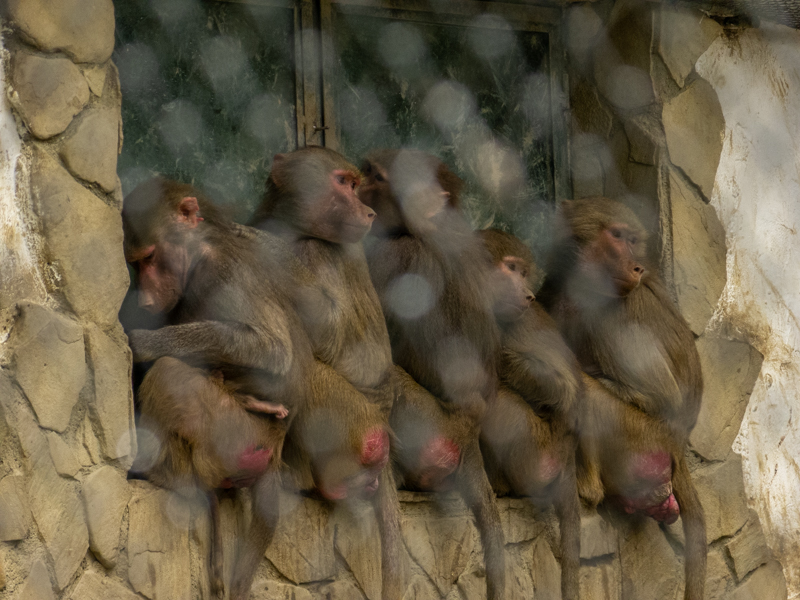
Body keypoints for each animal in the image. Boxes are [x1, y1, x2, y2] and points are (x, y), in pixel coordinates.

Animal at [249, 146, 406, 600]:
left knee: (309, 369)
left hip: (356, 423)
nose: (369, 213)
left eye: (356, 184)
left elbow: (331, 339)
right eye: (345, 183)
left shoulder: (319, 252)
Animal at [359, 149, 507, 600]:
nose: (357, 188)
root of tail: (468, 433)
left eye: (375, 176)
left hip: (428, 423)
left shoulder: (397, 256)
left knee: (389, 382)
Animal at [477, 228, 582, 600]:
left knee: (500, 402)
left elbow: (562, 389)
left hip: (536, 455)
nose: (528, 294)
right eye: (512, 269)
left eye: (523, 272)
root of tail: (567, 457)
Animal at [536, 196, 707, 600]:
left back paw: (587, 488)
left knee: (587, 391)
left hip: (643, 434)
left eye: (632, 239)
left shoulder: (613, 310)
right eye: (618, 236)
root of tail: (677, 446)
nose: (638, 266)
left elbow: (660, 398)